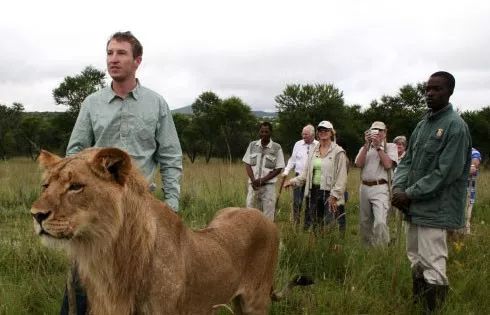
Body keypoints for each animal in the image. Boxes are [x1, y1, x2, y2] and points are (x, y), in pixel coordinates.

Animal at [30, 149, 310, 315]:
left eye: (76, 186)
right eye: (45, 185)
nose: (36, 214)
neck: (112, 253)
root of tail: (265, 218)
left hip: (256, 301)